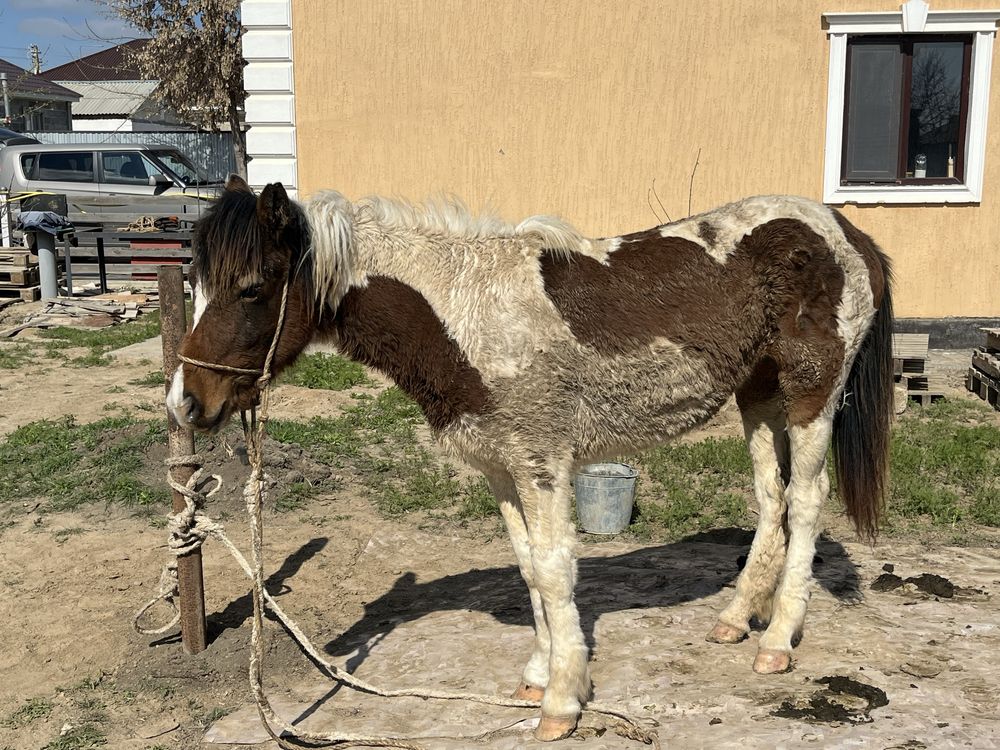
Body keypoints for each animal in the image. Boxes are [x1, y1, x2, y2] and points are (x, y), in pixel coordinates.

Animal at [168, 175, 896, 740]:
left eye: (252, 288)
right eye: (196, 285)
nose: (185, 403)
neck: (464, 317)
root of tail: (843, 230)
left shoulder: (542, 463)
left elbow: (552, 570)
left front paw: (563, 701)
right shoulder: (502, 468)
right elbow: (527, 571)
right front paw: (538, 676)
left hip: (811, 394)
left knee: (805, 501)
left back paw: (776, 642)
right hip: (759, 393)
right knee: (771, 498)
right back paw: (736, 619)